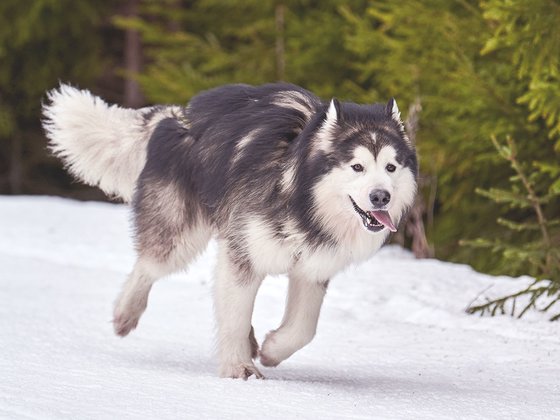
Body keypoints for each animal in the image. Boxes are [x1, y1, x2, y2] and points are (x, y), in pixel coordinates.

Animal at [41, 83, 418, 378]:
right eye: (357, 167)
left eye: (390, 167)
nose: (380, 196)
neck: (299, 197)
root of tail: (179, 114)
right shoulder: (242, 255)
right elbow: (235, 316)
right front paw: (239, 368)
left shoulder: (312, 267)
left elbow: (303, 329)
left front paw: (271, 350)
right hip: (180, 236)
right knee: (149, 265)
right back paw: (126, 313)